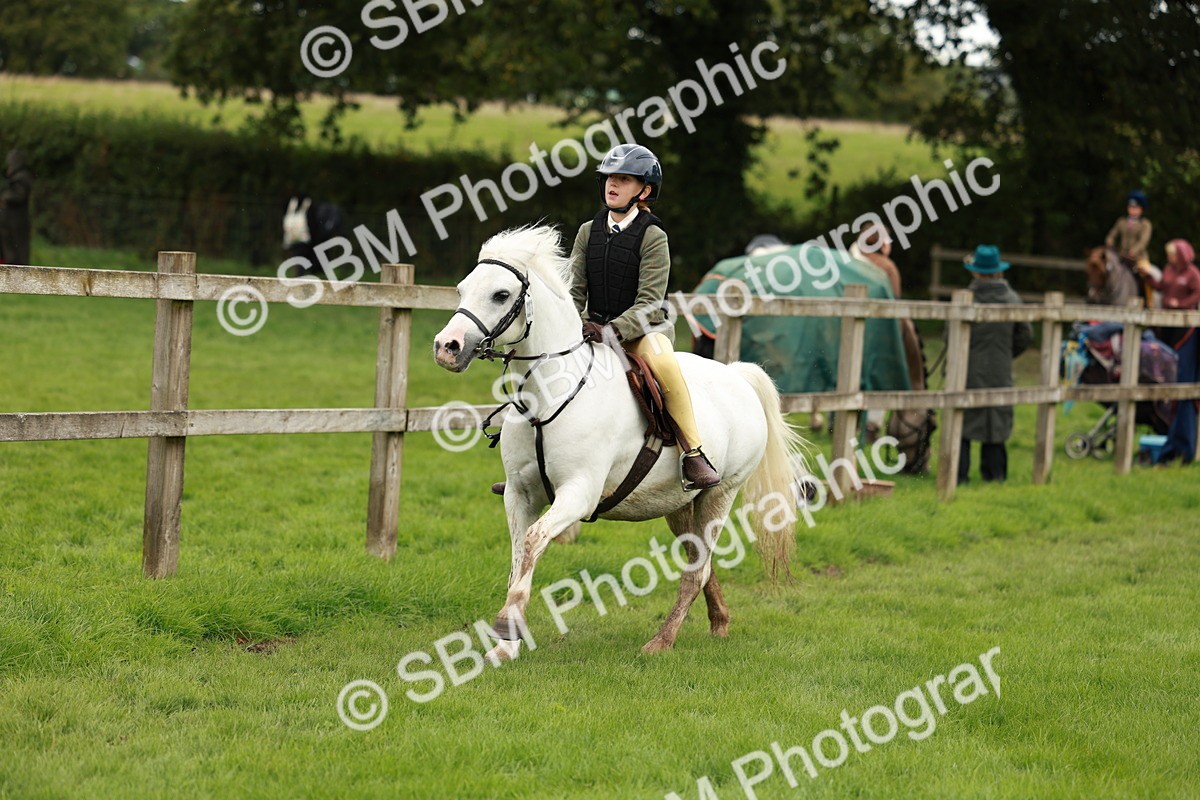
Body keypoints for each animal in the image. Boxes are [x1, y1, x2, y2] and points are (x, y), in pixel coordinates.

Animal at [433, 224, 810, 661]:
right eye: (462, 289)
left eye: (500, 294)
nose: (446, 348)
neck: (550, 394)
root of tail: (737, 375)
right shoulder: (519, 494)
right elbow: (518, 556)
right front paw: (506, 646)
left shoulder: (577, 495)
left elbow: (531, 542)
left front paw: (507, 627)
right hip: (679, 503)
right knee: (701, 562)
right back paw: (720, 623)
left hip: (721, 494)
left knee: (697, 570)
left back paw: (661, 642)